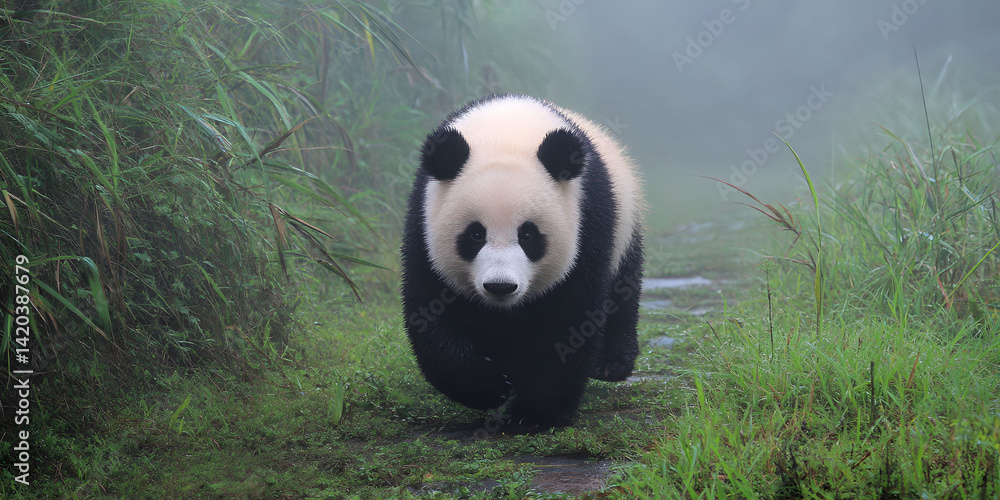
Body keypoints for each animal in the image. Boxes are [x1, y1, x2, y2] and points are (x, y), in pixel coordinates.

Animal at [401, 93, 644, 429]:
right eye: (475, 234)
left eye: (528, 235)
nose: (500, 286)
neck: (506, 133)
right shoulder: (423, 222)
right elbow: (432, 312)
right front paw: (490, 387)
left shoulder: (588, 221)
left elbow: (569, 318)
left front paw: (535, 414)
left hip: (625, 226)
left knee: (623, 289)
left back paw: (611, 364)